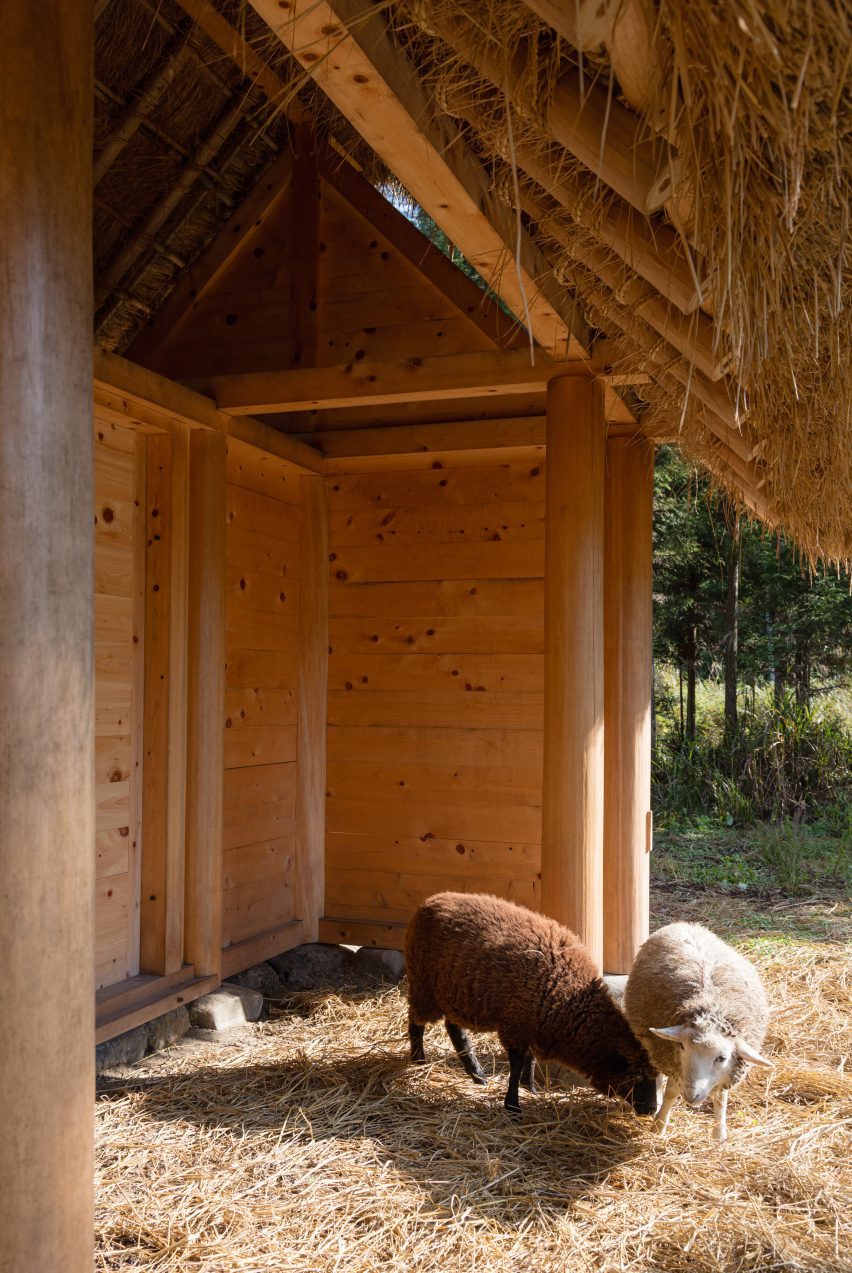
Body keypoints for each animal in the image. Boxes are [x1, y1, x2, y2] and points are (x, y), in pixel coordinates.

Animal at [404, 891, 660, 1116]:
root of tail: (430, 901)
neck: (568, 993)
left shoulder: (532, 1023)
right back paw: (418, 1060)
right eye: (637, 1077)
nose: (650, 1111)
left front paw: (531, 1089)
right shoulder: (517, 1023)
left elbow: (530, 1060)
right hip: (424, 985)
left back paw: (477, 1074)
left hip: (455, 995)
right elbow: (517, 1065)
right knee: (416, 1020)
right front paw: (513, 1106)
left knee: (454, 1028)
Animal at [623, 922, 772, 1142]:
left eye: (721, 1058)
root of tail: (685, 924)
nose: (692, 1096)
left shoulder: (728, 1071)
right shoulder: (672, 1059)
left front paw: (719, 1134)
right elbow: (671, 1092)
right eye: (682, 1047)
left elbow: (721, 1099)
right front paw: (659, 1126)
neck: (711, 1008)